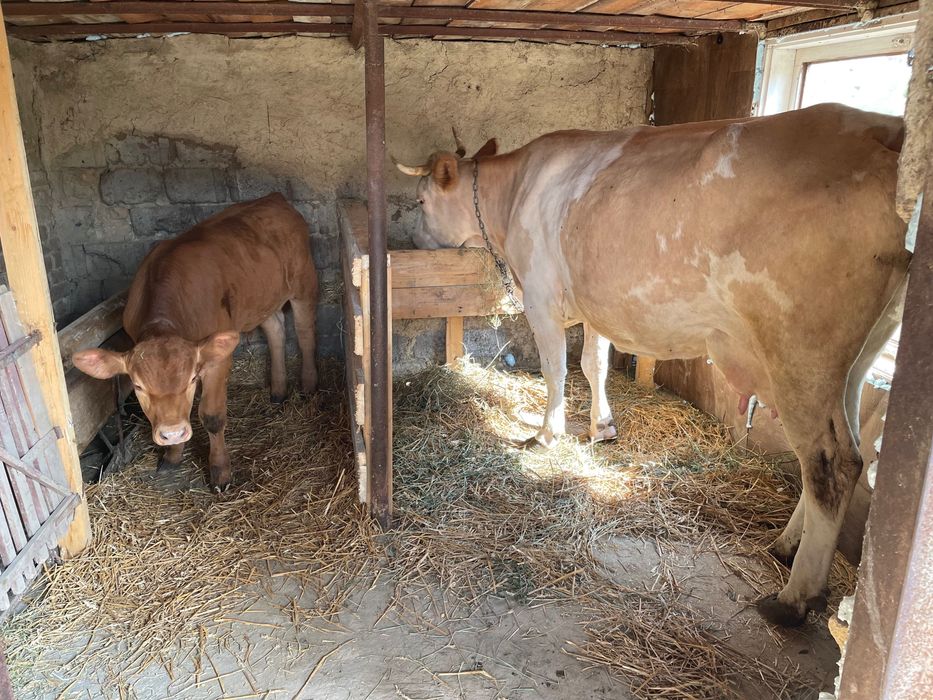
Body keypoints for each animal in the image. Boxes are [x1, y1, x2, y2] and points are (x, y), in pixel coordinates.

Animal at [72, 193, 319, 492]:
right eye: (139, 386)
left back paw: (308, 385)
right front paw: (172, 455)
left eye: (191, 379)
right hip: (260, 298)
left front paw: (220, 473)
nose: (172, 433)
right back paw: (279, 391)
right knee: (276, 330)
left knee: (305, 332)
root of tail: (274, 197)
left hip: (304, 282)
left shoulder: (217, 359)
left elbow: (212, 417)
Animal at [396, 104, 910, 627]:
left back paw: (796, 595)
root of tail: (880, 130)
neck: (515, 193)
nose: (412, 238)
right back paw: (785, 545)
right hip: (859, 355)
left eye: (420, 199)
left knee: (831, 461)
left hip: (801, 351)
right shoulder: (596, 305)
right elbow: (594, 364)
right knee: (845, 447)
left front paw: (546, 434)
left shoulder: (540, 298)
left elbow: (556, 370)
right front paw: (602, 427)